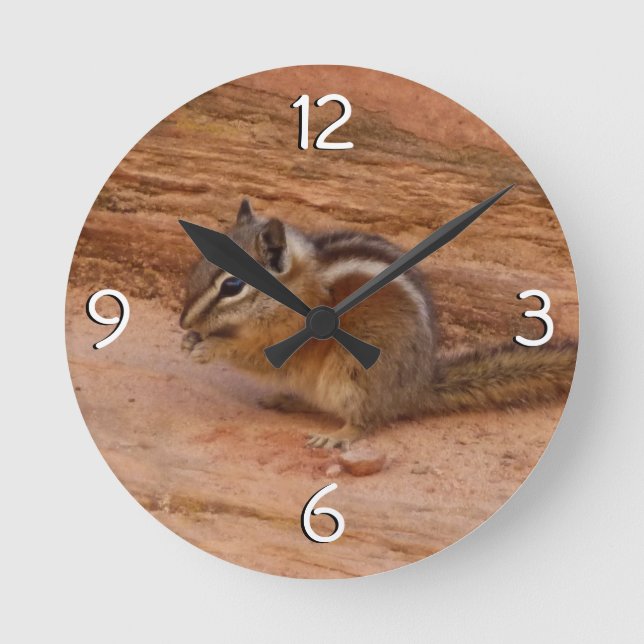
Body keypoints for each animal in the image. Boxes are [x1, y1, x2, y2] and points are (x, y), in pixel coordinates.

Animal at [180, 199, 576, 449]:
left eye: (232, 286)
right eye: (200, 262)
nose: (183, 320)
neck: (294, 290)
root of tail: (415, 388)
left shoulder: (289, 341)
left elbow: (255, 357)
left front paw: (210, 347)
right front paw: (190, 339)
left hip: (354, 372)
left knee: (365, 420)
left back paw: (338, 435)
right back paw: (287, 400)